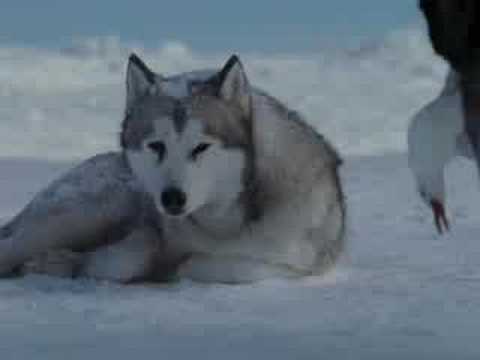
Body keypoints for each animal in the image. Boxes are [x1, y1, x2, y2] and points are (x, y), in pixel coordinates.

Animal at [0, 54, 344, 284]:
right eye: (156, 146)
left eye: (201, 147)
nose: (172, 198)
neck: (224, 223)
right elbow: (139, 256)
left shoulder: (302, 259)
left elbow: (236, 266)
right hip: (91, 210)